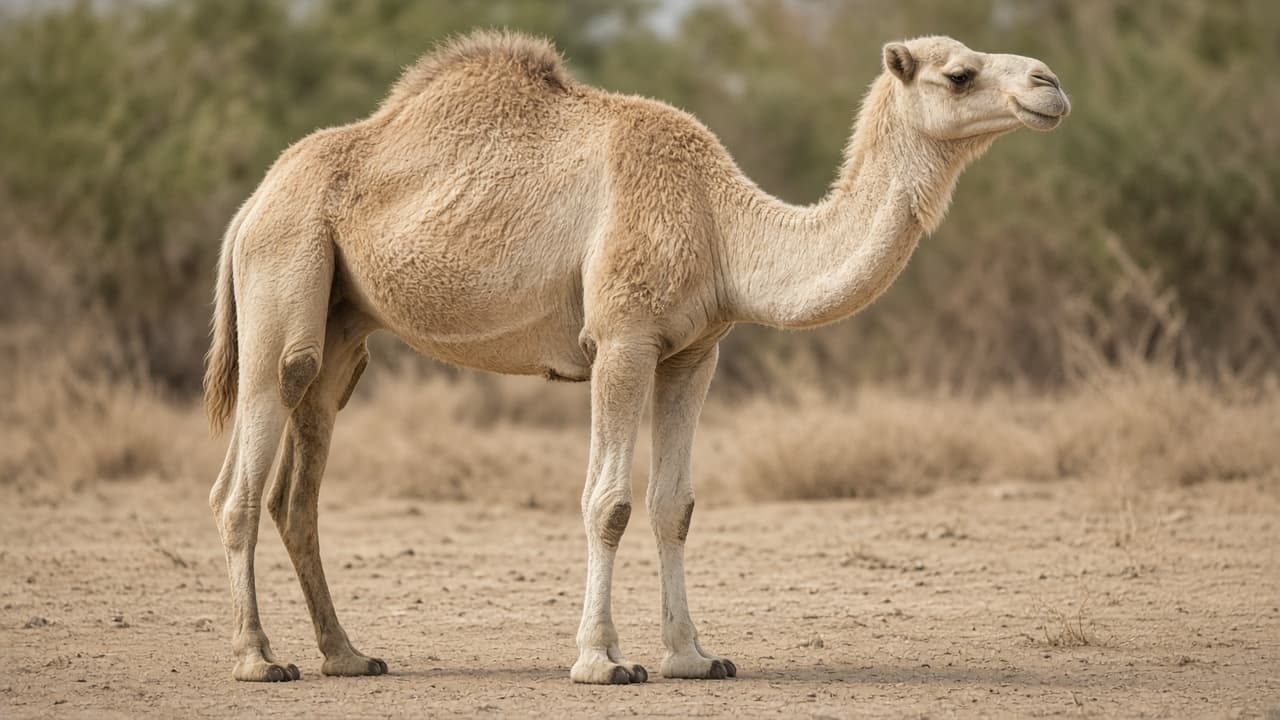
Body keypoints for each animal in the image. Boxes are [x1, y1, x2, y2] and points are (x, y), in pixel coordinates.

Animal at [203, 30, 1068, 684]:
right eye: (960, 73)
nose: (1051, 84)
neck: (723, 225)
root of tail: (249, 202)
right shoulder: (621, 337)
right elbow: (609, 502)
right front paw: (603, 661)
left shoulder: (694, 352)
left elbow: (672, 505)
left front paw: (694, 655)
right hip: (283, 269)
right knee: (244, 471)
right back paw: (258, 659)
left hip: (342, 333)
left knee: (300, 482)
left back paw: (346, 655)